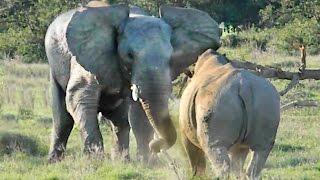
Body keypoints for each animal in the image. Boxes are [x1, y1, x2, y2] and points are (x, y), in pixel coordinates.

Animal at [44, 0, 220, 162]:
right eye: (129, 55)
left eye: (171, 57)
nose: (156, 146)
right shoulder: (88, 55)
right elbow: (81, 97)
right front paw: (95, 163)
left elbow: (139, 111)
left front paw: (145, 163)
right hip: (54, 67)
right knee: (63, 118)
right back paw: (54, 161)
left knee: (119, 120)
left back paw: (121, 160)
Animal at [180, 48, 280, 179]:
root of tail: (244, 86)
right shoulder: (240, 145)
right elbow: (238, 160)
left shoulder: (185, 133)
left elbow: (196, 162)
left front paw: (196, 177)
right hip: (266, 98)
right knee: (261, 150)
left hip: (216, 101)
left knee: (215, 149)